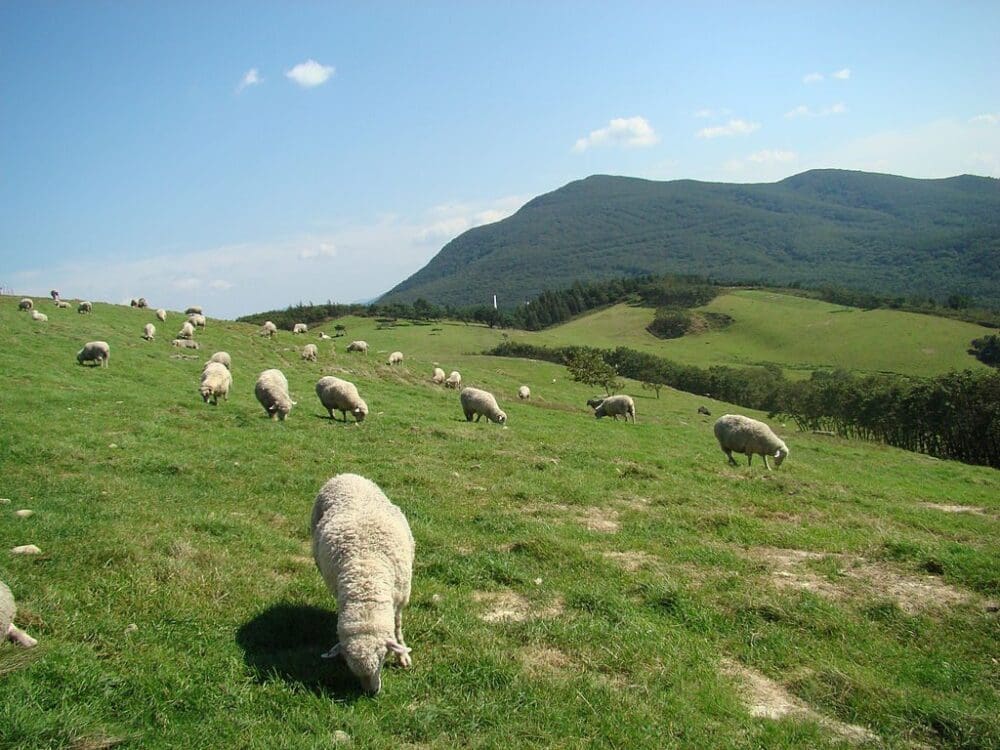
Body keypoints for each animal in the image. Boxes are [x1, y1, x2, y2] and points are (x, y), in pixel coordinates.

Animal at [311, 473, 414, 695]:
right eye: (350, 666)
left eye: (383, 658)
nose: (371, 693)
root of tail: (344, 474)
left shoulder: (401, 598)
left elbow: (398, 627)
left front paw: (402, 654)